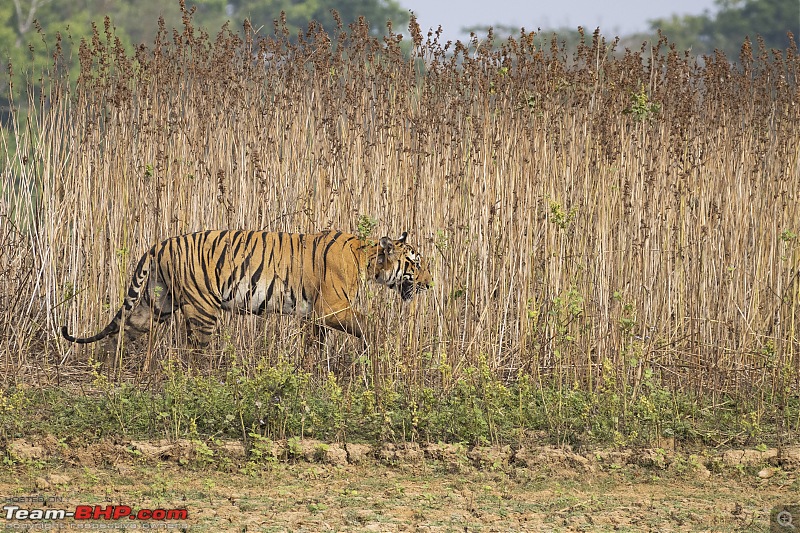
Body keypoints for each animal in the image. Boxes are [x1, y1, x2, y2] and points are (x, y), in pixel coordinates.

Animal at [61, 230, 432, 348]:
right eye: (415, 263)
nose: (430, 284)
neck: (367, 260)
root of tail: (158, 244)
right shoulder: (333, 309)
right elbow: (370, 323)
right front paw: (379, 347)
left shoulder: (315, 317)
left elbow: (314, 348)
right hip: (202, 310)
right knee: (196, 354)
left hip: (156, 304)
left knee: (123, 332)